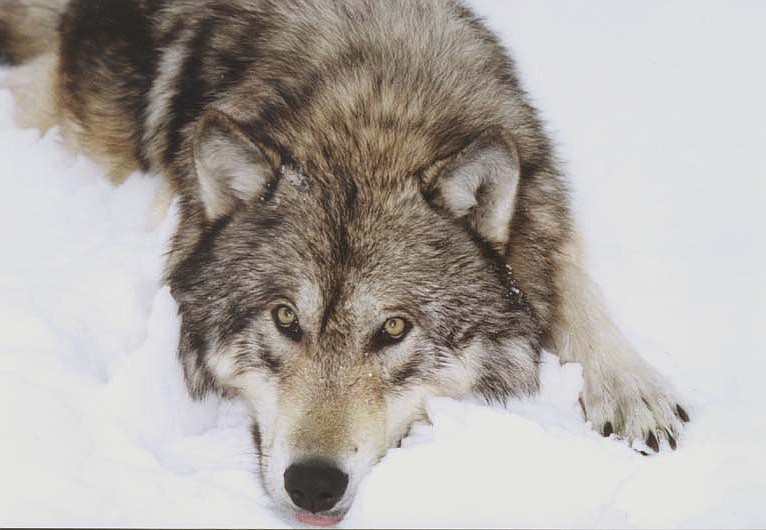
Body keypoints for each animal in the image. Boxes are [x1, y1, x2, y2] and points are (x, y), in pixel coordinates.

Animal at [1, 0, 690, 525]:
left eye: (394, 328)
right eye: (284, 318)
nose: (313, 485)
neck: (369, 116)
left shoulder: (544, 212)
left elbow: (577, 290)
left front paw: (634, 392)